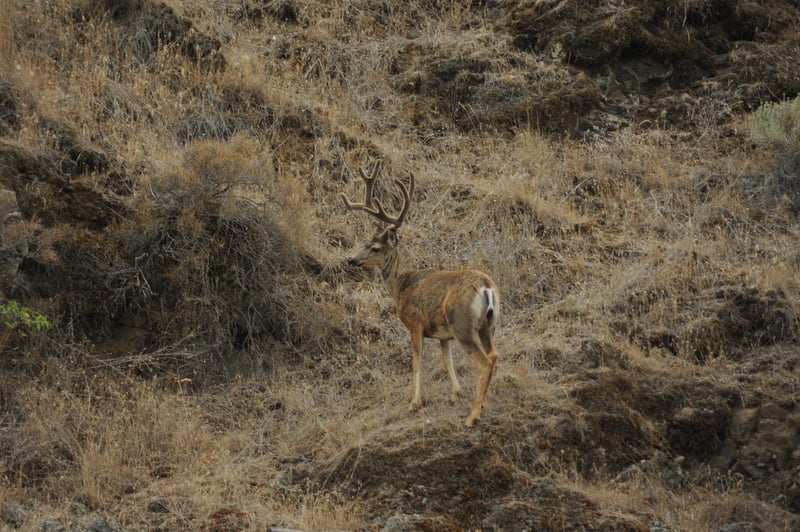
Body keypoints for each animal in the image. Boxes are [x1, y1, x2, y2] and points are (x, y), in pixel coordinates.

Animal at [341, 161, 500, 427]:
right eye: (365, 242)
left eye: (375, 248)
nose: (351, 259)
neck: (400, 286)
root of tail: (487, 287)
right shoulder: (443, 334)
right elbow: (447, 360)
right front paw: (456, 393)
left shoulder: (415, 323)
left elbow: (416, 361)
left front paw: (414, 402)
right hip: (488, 325)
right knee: (495, 355)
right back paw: (481, 403)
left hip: (463, 324)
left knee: (485, 361)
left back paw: (473, 416)